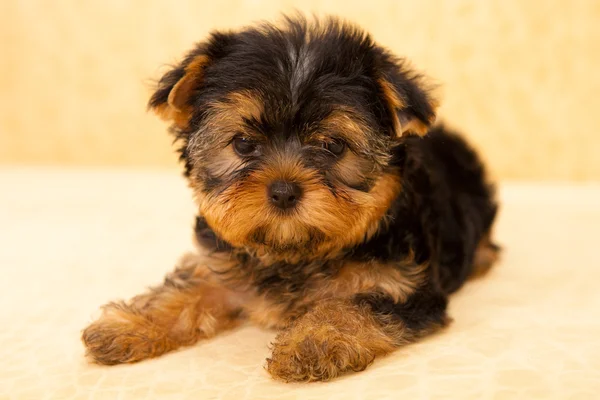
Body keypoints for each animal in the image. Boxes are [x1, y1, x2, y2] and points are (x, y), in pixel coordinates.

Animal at [82, 15, 500, 382]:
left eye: (332, 146)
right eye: (243, 143)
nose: (284, 190)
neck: (293, 253)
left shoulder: (404, 286)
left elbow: (354, 305)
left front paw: (312, 341)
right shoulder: (220, 263)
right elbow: (190, 286)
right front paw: (131, 323)